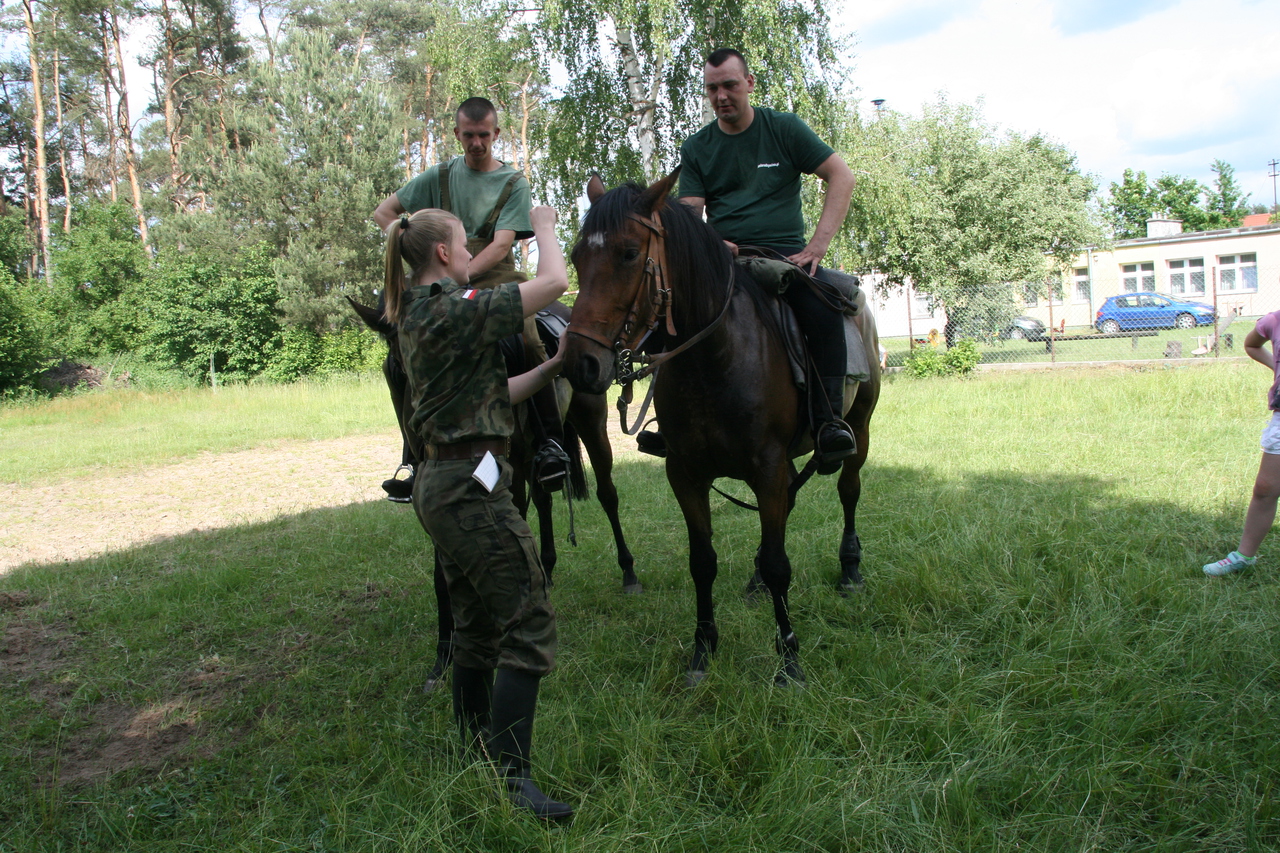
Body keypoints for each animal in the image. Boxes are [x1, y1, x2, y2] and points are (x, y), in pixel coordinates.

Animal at [348, 295, 637, 686]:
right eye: (394, 371)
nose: (423, 437)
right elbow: (443, 576)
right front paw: (444, 657)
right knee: (543, 500)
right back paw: (547, 570)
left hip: (591, 424)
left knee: (607, 495)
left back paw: (628, 572)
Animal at [563, 171, 880, 686]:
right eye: (575, 257)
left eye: (628, 253)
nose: (579, 364)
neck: (716, 359)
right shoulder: (686, 473)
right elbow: (703, 562)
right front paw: (702, 650)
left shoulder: (766, 467)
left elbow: (779, 563)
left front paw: (789, 660)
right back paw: (755, 582)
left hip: (859, 427)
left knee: (848, 490)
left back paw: (850, 571)